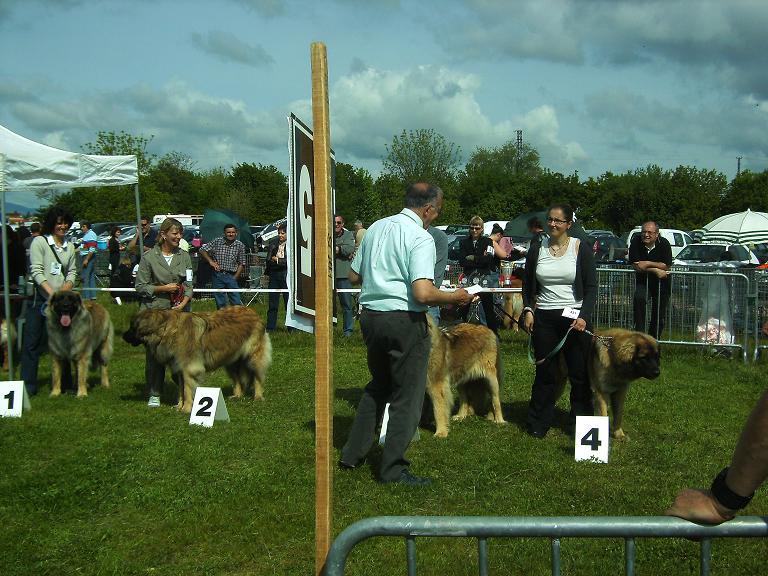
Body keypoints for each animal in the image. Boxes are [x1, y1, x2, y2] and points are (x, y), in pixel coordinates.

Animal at [121, 304, 272, 412]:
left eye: (132, 328)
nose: (123, 335)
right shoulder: (179, 368)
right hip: (231, 360)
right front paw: (179, 406)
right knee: (238, 379)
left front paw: (186, 408)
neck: (166, 329)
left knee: (257, 376)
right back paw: (237, 395)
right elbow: (181, 390)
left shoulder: (189, 368)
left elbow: (187, 390)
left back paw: (258, 396)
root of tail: (253, 312)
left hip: (253, 357)